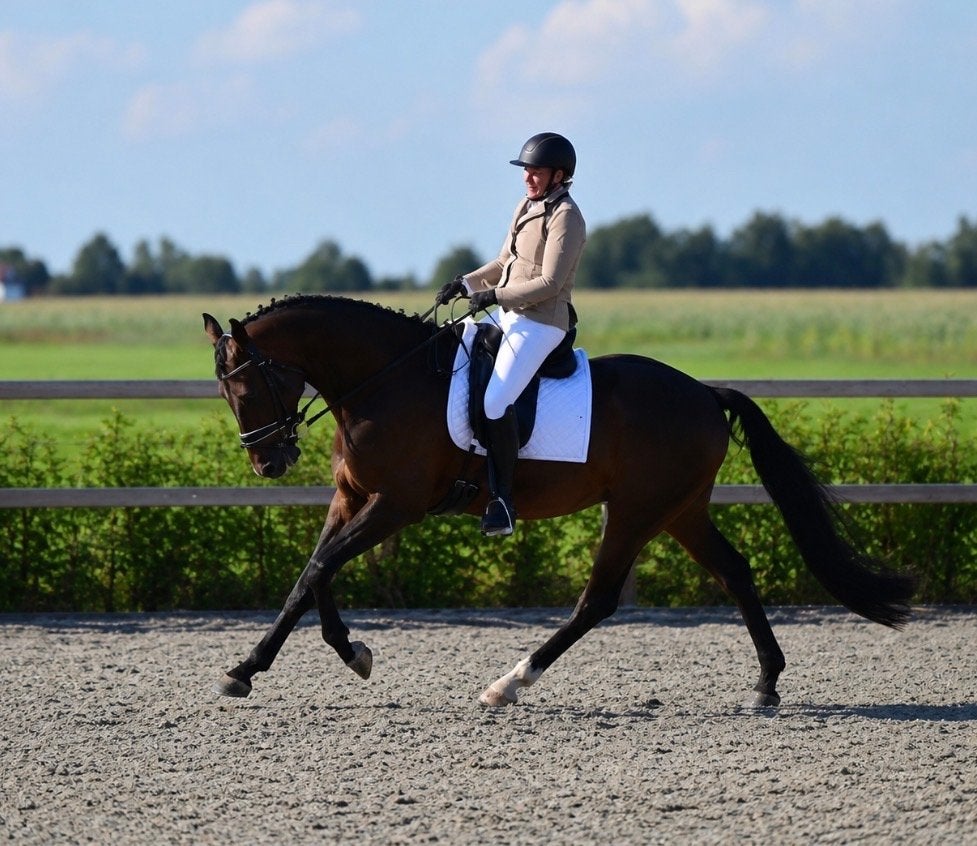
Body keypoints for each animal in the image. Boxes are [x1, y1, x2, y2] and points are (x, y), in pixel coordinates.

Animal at [203, 294, 914, 709]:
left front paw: (276, 664)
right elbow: (310, 575)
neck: (384, 379)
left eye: (246, 389)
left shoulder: (396, 504)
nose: (269, 461)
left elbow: (323, 567)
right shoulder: (353, 497)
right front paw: (306, 657)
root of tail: (704, 393)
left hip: (635, 512)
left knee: (597, 600)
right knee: (735, 572)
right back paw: (766, 682)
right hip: (680, 512)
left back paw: (509, 683)